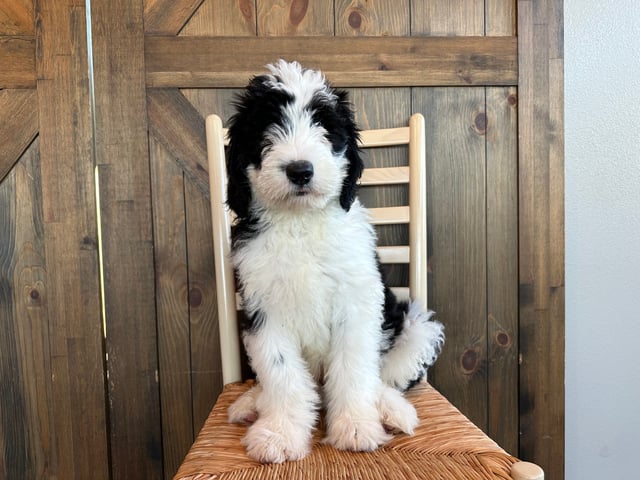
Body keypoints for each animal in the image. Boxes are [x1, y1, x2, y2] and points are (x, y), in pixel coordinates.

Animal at [222, 58, 442, 464]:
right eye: (267, 127)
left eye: (324, 126)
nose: (300, 170)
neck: (301, 222)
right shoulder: (264, 308)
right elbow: (281, 373)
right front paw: (280, 433)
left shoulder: (356, 302)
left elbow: (354, 369)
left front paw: (355, 427)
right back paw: (251, 402)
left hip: (415, 324)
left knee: (382, 376)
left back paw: (391, 409)